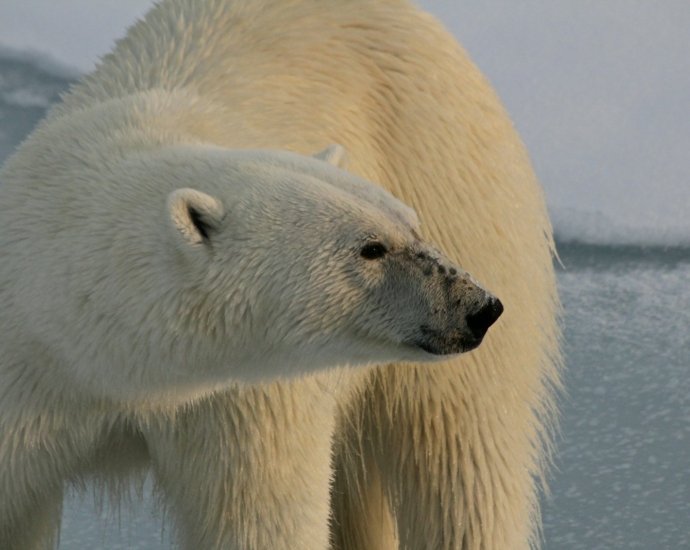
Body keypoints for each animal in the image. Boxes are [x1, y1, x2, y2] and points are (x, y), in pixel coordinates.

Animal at [1, 1, 560, 550]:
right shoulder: (25, 378)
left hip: (455, 173)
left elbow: (260, 521)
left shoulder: (243, 402)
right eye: (371, 248)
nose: (478, 306)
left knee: (465, 465)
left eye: (410, 223)